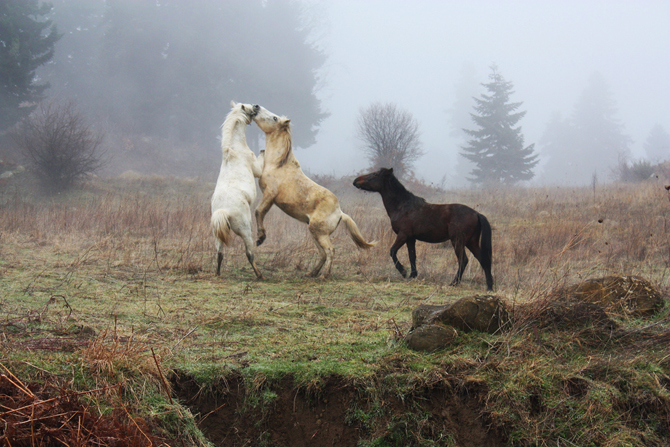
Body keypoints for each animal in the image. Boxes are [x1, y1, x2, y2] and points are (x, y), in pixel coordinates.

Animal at [213, 101, 266, 280]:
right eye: (248, 108)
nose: (256, 105)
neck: (234, 149)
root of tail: (224, 211)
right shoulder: (257, 169)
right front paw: (263, 149)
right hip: (245, 231)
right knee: (249, 253)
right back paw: (260, 275)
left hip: (218, 235)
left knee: (219, 253)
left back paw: (217, 274)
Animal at [252, 106, 378, 278]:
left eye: (274, 118)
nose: (256, 107)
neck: (278, 165)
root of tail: (340, 213)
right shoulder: (269, 198)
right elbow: (261, 212)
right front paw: (261, 237)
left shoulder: (270, 194)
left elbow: (258, 212)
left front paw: (260, 238)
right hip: (313, 232)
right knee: (323, 253)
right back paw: (311, 273)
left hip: (319, 233)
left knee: (330, 250)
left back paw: (324, 275)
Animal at [356, 168, 494, 290]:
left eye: (374, 174)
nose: (355, 180)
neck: (403, 206)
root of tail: (476, 214)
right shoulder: (411, 238)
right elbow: (412, 256)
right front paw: (412, 275)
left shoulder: (403, 235)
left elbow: (393, 251)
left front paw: (403, 272)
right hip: (471, 242)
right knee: (483, 259)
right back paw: (489, 286)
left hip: (458, 241)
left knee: (463, 260)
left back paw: (454, 283)